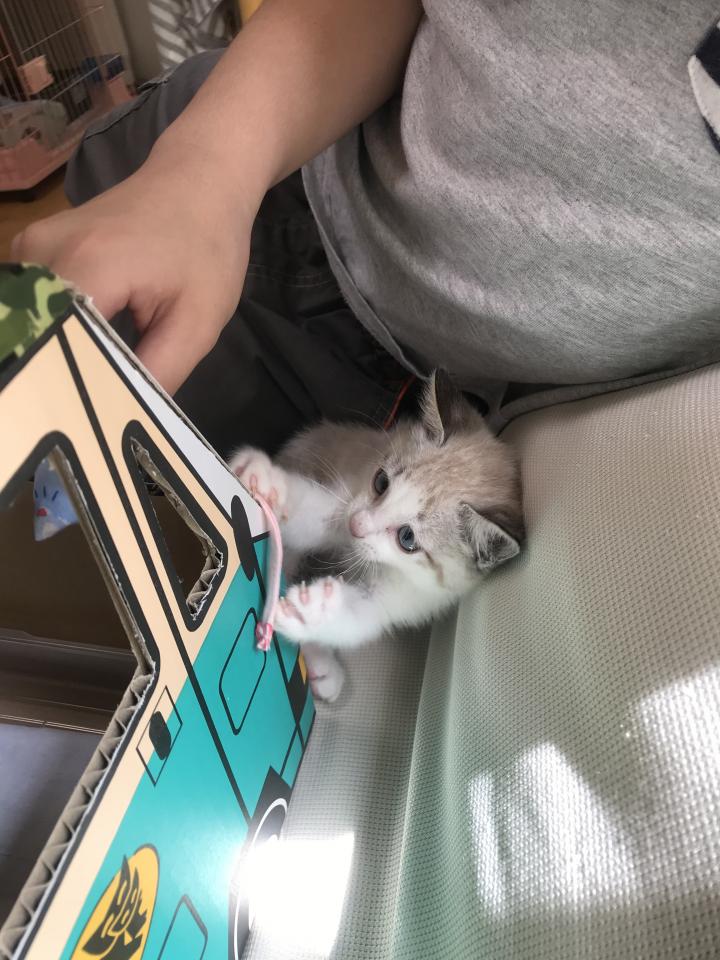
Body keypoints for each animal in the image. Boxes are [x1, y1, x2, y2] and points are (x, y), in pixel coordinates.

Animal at [229, 371, 524, 702]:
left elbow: (359, 619)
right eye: (381, 482)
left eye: (407, 538)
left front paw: (311, 612)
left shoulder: (405, 599)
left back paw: (323, 667)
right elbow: (311, 514)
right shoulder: (346, 499)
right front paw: (268, 483)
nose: (356, 527)